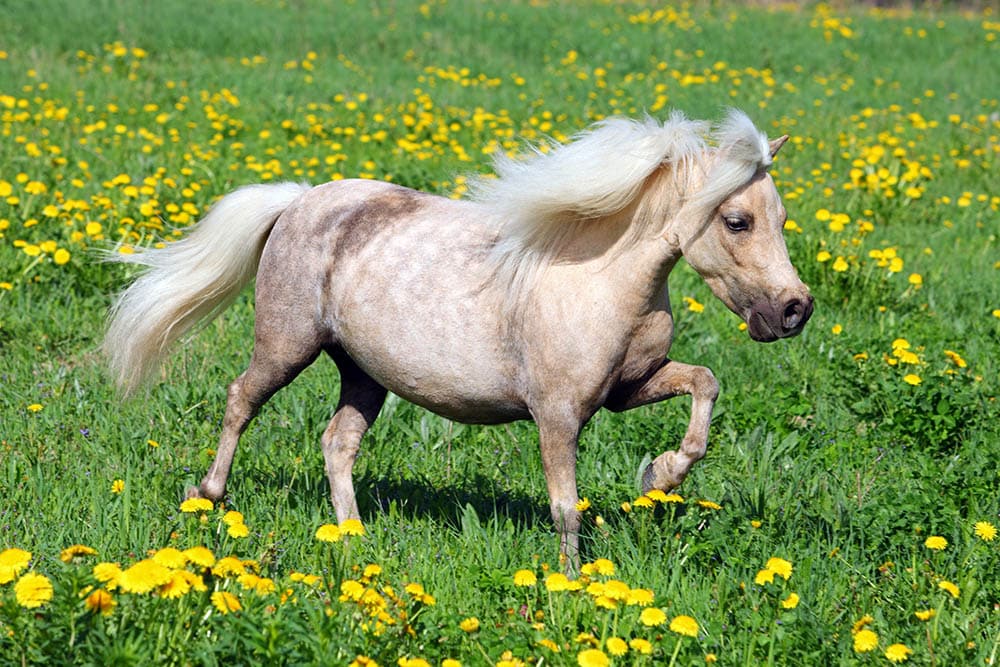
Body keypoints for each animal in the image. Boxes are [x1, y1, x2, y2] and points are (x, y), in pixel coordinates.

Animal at [105, 109, 812, 568]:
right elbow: (566, 507)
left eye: (780, 218)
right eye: (737, 220)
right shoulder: (557, 415)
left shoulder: (627, 389)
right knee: (240, 400)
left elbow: (704, 384)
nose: (794, 311)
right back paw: (207, 498)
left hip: (363, 373)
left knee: (337, 443)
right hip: (286, 344)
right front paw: (572, 584)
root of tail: (300, 201)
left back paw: (355, 538)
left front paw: (659, 477)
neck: (597, 278)